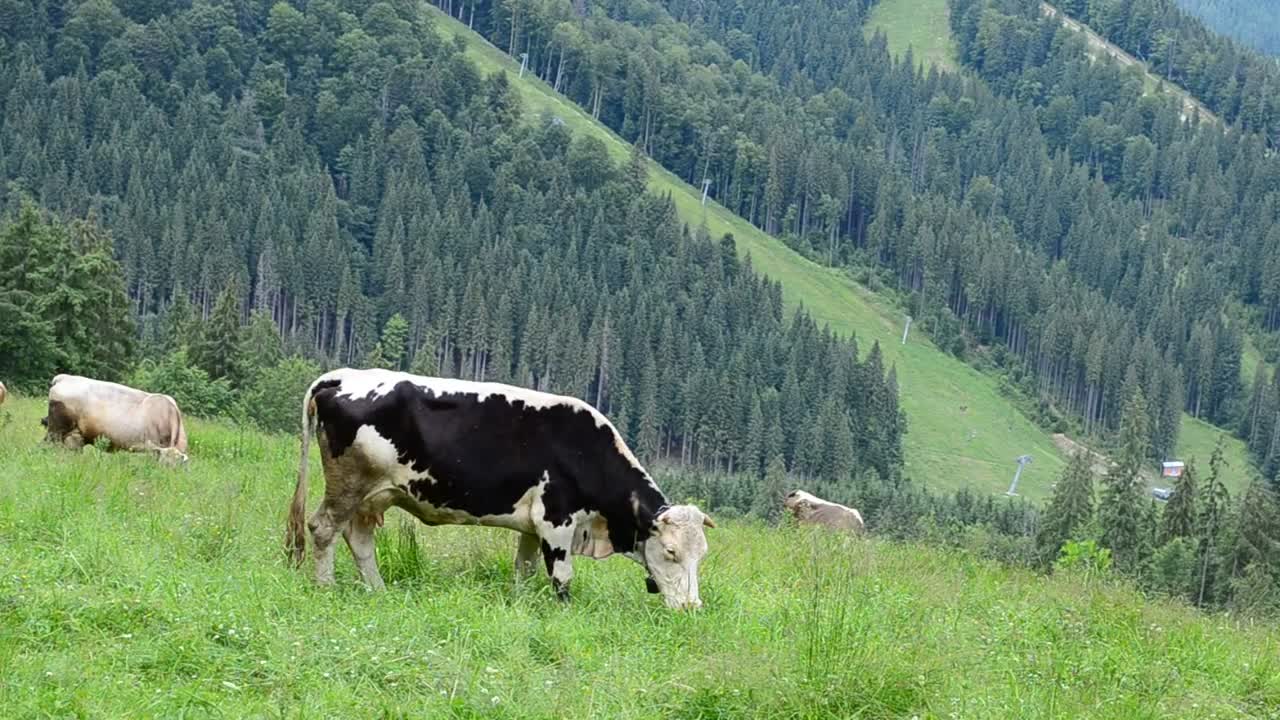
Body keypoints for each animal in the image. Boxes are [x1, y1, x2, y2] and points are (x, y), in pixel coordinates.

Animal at [285, 368, 716, 610]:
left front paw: (521, 606)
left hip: (373, 494)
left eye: (702, 554)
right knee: (323, 529)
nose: (693, 607)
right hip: (348, 484)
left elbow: (523, 571)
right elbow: (562, 578)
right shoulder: (556, 521)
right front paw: (565, 615)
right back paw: (326, 588)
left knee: (358, 539)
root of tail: (340, 376)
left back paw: (378, 592)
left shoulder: (533, 527)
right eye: (671, 552)